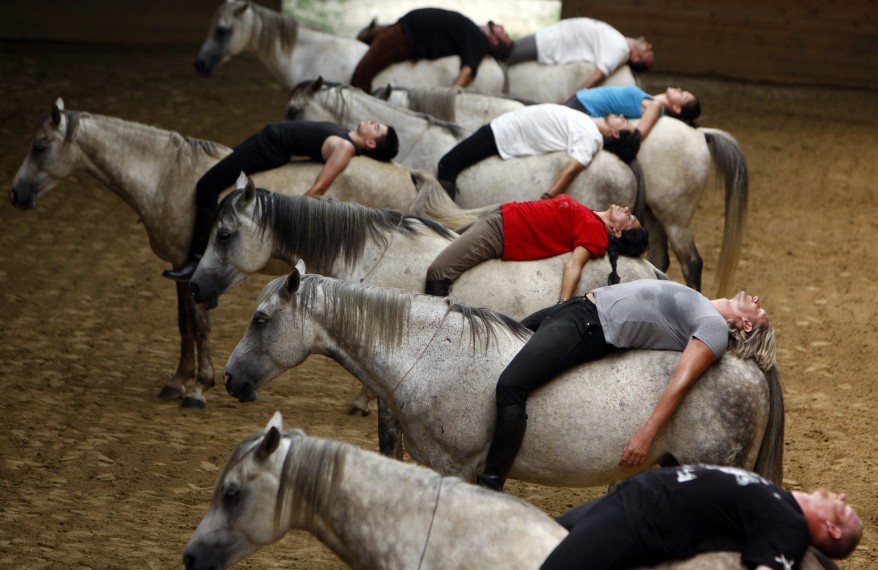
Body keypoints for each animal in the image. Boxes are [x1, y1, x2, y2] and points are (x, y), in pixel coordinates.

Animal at [6, 98, 426, 408]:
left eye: (40, 147)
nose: (15, 194)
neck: (166, 175)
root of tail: (409, 175)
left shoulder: (190, 266)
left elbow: (198, 322)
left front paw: (196, 388)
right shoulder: (181, 269)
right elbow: (184, 322)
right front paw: (178, 380)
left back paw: (364, 400)